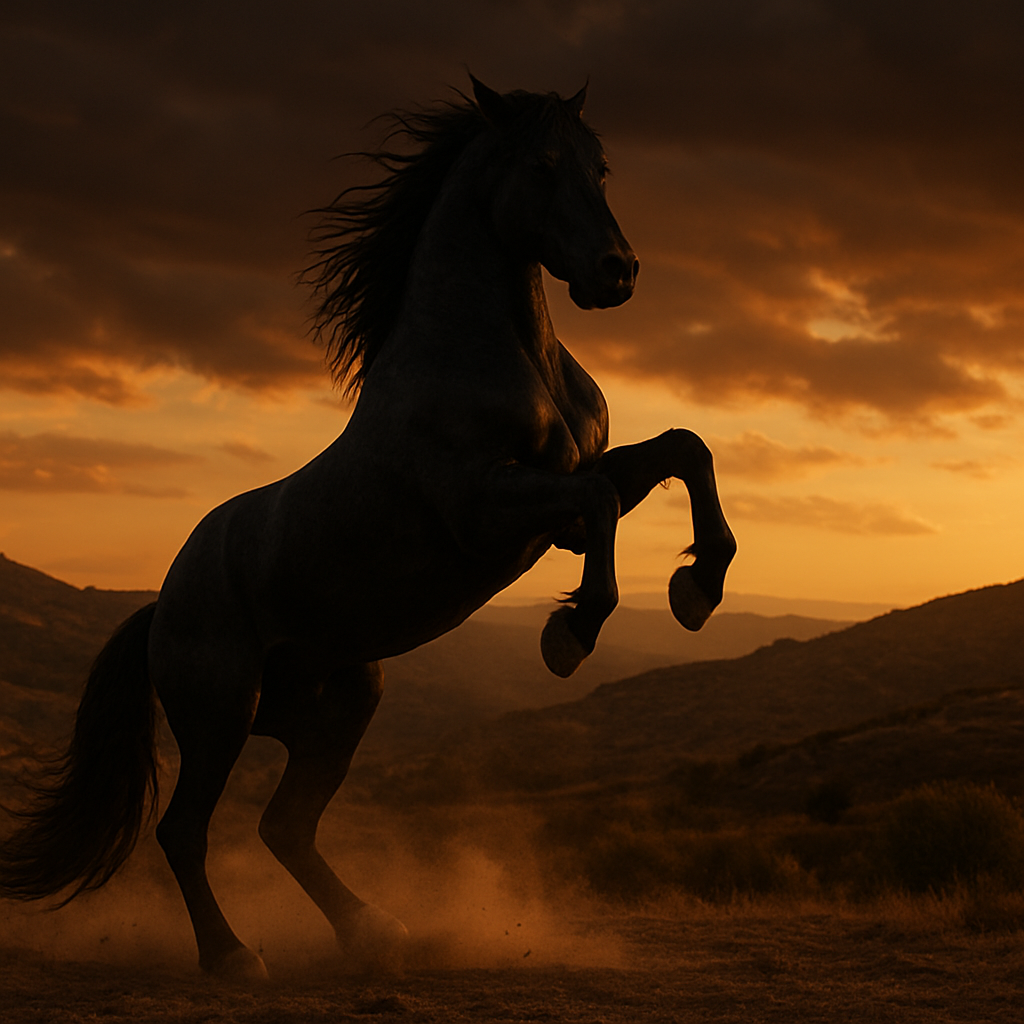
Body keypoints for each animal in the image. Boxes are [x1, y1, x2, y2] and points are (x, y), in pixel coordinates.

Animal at [0, 77, 735, 979]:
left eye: (601, 167)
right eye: (541, 163)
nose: (616, 272)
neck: (495, 356)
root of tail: (160, 606)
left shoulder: (569, 491)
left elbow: (684, 449)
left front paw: (698, 587)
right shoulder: (487, 509)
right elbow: (600, 504)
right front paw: (572, 633)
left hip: (342, 703)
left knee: (284, 826)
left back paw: (376, 933)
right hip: (220, 713)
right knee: (184, 832)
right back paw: (233, 958)